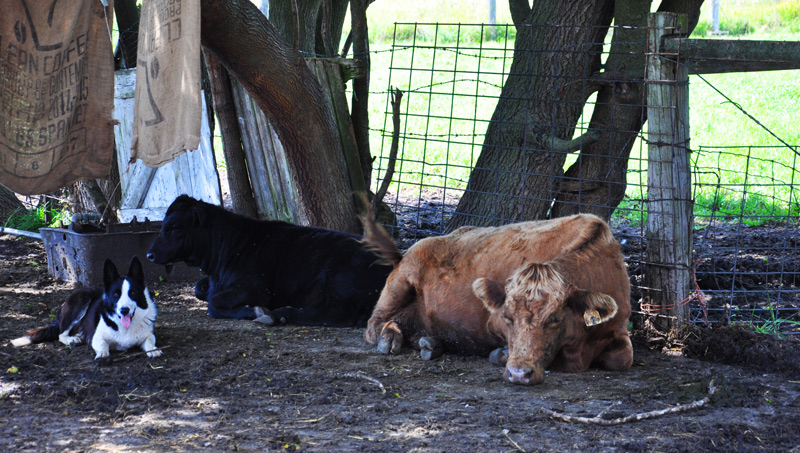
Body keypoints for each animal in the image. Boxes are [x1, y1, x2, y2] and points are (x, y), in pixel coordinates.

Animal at [146, 195, 392, 327]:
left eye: (175, 227)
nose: (149, 254)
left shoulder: (256, 287)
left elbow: (214, 304)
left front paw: (254, 311)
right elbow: (201, 289)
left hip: (339, 278)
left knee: (338, 311)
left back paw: (278, 314)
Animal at [362, 213, 633, 385]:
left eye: (555, 318)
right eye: (508, 317)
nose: (519, 374)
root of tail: (405, 252)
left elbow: (622, 359)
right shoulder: (494, 322)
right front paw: (500, 354)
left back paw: (429, 343)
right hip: (401, 282)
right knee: (374, 324)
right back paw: (390, 339)